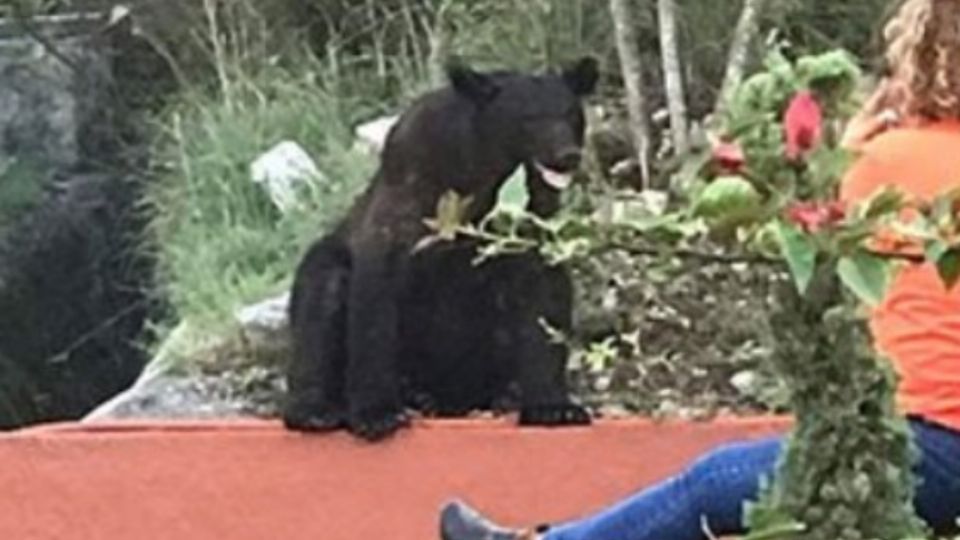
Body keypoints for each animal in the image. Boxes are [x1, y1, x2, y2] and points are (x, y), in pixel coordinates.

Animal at [284, 57, 600, 440]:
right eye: (529, 118)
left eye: (571, 114)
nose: (566, 156)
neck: (481, 174)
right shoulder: (407, 200)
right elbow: (376, 300)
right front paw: (377, 412)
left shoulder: (531, 217)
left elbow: (543, 296)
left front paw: (554, 407)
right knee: (321, 297)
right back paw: (316, 410)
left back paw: (504, 395)